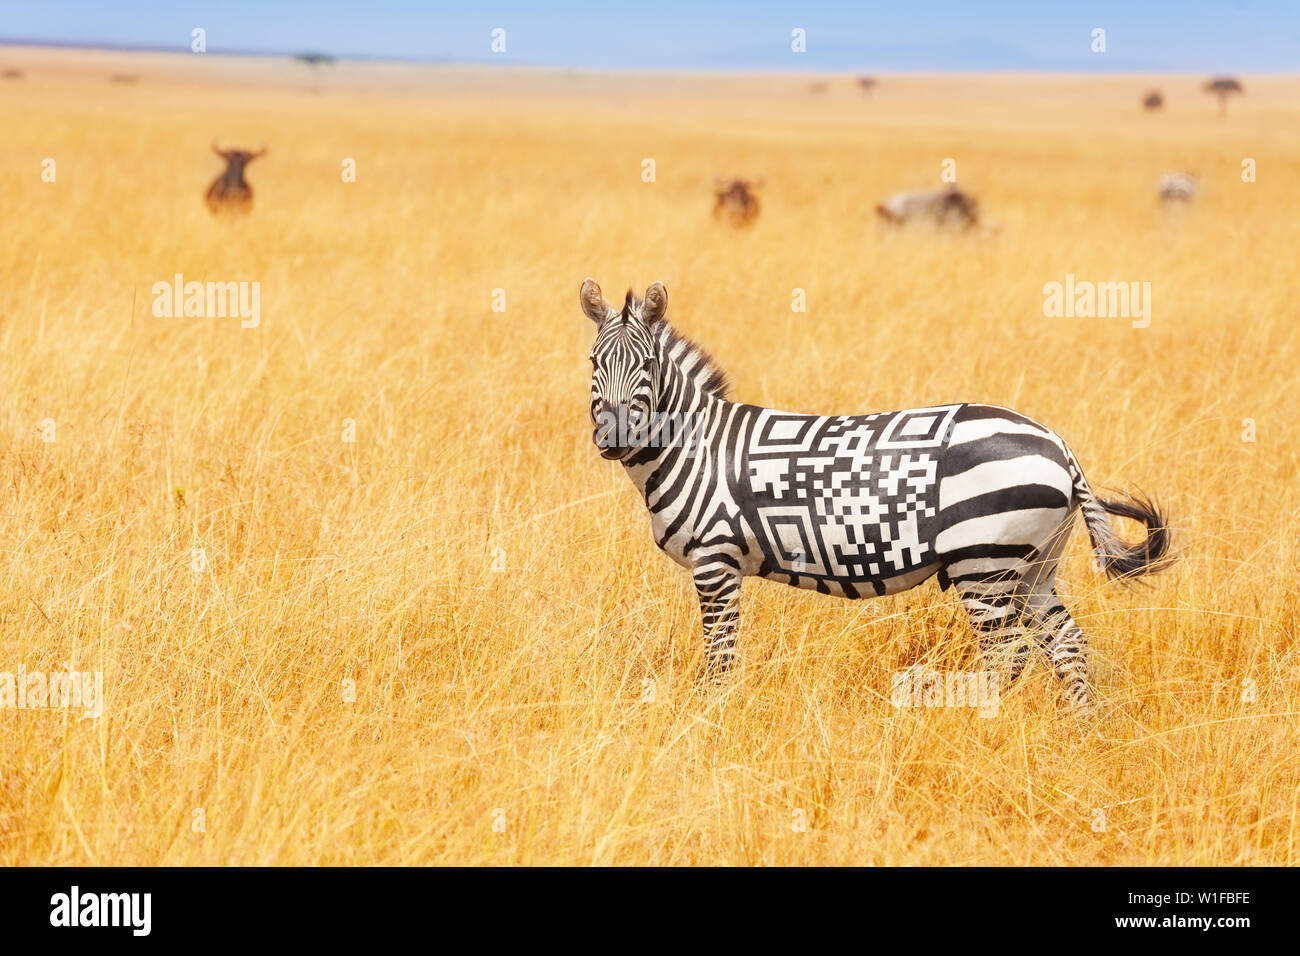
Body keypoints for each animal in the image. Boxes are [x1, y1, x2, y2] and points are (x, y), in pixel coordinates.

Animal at [582, 279, 1174, 711]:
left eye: (647, 366)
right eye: (593, 365)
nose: (613, 438)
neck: (694, 445)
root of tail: (1058, 444)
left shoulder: (715, 561)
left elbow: (719, 657)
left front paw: (715, 718)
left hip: (984, 564)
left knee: (1007, 655)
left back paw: (985, 731)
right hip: (1034, 566)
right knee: (1066, 645)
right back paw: (1081, 730)